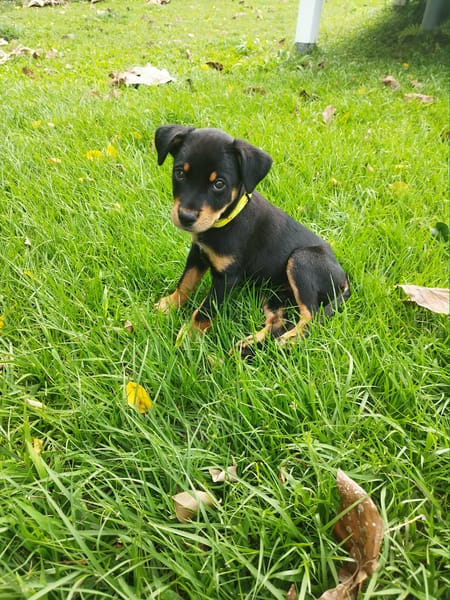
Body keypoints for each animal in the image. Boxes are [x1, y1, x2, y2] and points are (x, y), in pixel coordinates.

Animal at [154, 125, 350, 356]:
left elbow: (204, 311)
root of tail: (343, 278)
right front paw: (168, 305)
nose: (186, 217)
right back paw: (245, 346)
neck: (226, 220)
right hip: (275, 296)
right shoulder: (197, 254)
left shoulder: (227, 278)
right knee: (278, 322)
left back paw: (288, 340)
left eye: (219, 184)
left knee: (311, 315)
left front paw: (189, 338)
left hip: (301, 261)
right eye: (180, 173)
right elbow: (185, 283)